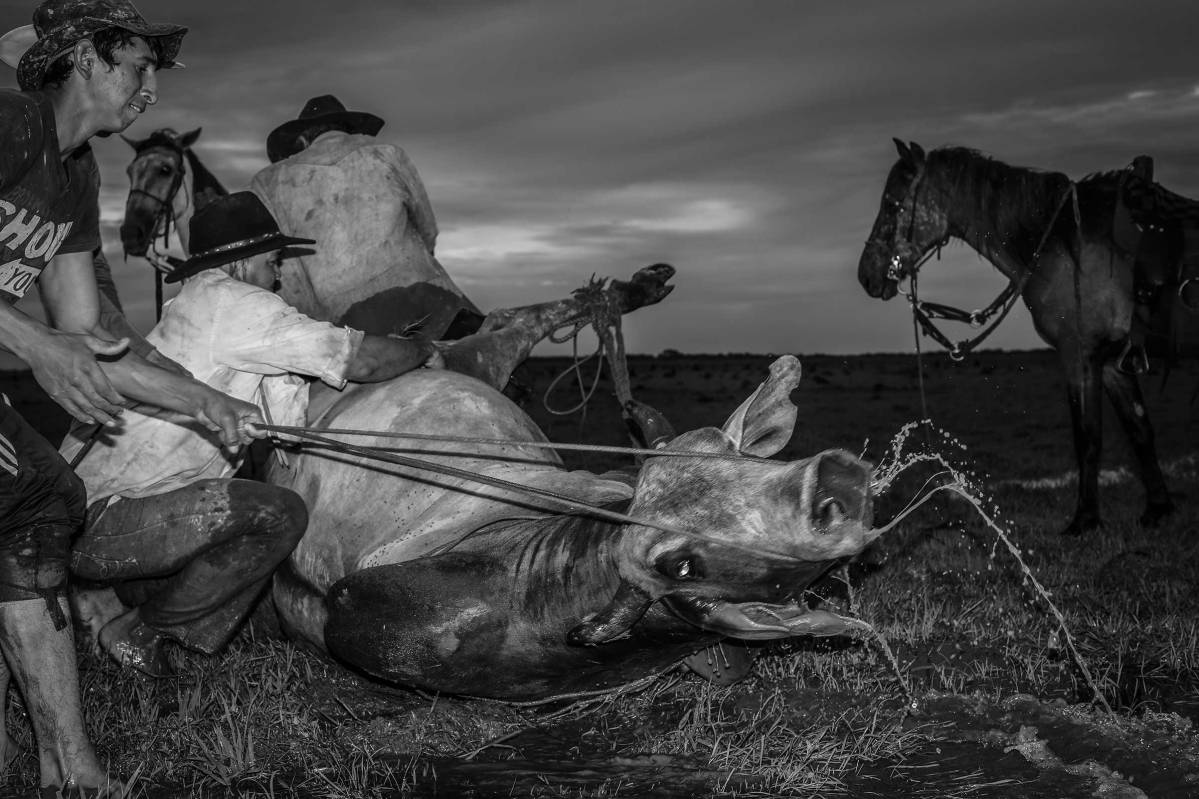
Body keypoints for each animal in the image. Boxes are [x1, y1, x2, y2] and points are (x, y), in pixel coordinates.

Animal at [857, 139, 1194, 537]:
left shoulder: (1079, 355)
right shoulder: (1113, 361)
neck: (1064, 244)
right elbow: (1140, 431)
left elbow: (1087, 438)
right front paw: (1158, 509)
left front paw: (1084, 520)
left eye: (892, 204)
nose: (866, 275)